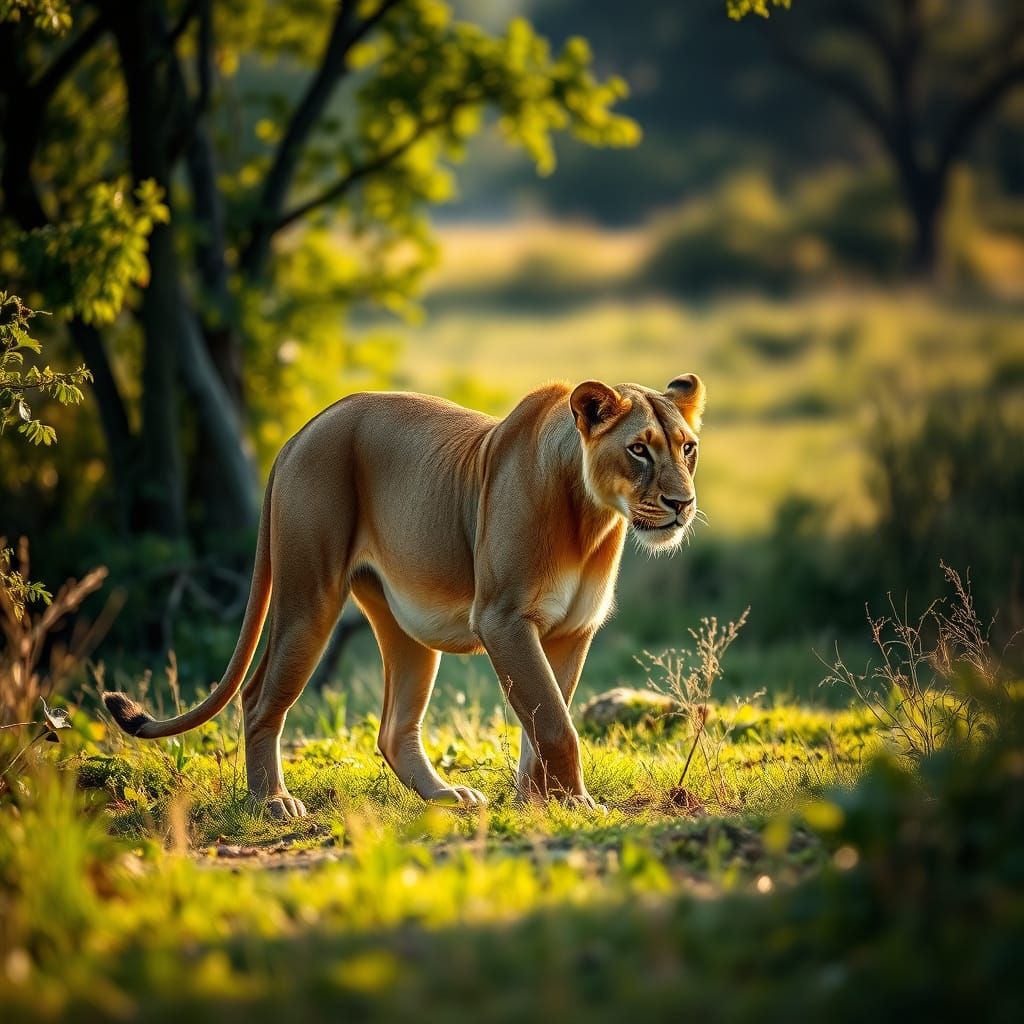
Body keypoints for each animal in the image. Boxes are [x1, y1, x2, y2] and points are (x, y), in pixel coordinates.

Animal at [104, 374, 705, 817]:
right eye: (638, 450)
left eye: (688, 449)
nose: (682, 504)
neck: (593, 519)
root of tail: (302, 432)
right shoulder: (503, 618)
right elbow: (556, 723)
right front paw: (576, 803)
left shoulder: (572, 631)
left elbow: (540, 720)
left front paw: (538, 802)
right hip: (309, 598)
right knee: (256, 698)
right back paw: (273, 802)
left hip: (405, 627)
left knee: (393, 729)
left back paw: (446, 796)